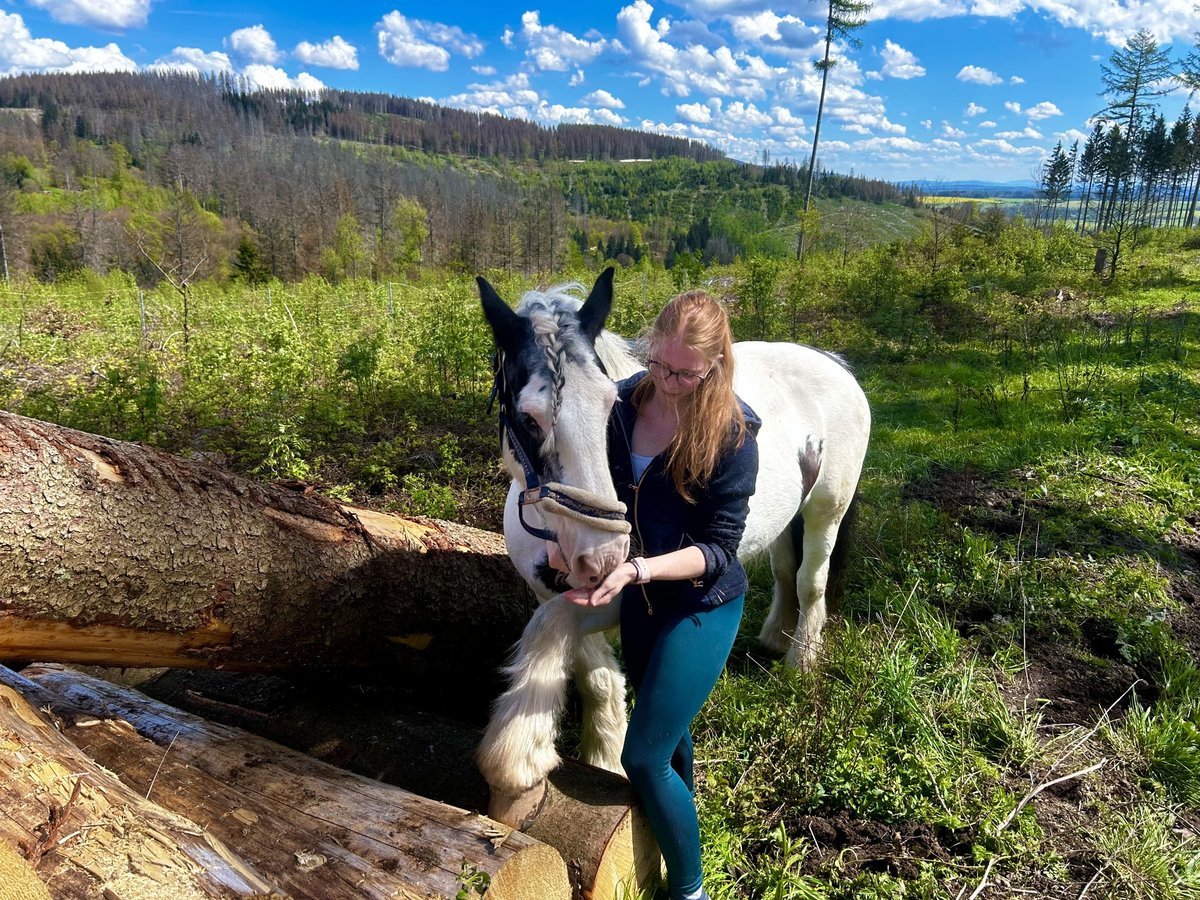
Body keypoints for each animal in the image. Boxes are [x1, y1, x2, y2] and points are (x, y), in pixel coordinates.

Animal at [472, 271, 868, 830]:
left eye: (608, 405)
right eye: (528, 418)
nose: (604, 555)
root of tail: (831, 362)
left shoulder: (623, 594)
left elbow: (551, 631)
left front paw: (516, 756)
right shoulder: (561, 592)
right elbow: (589, 668)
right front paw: (604, 753)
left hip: (826, 510)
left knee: (811, 580)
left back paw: (800, 661)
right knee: (785, 570)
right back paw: (775, 636)